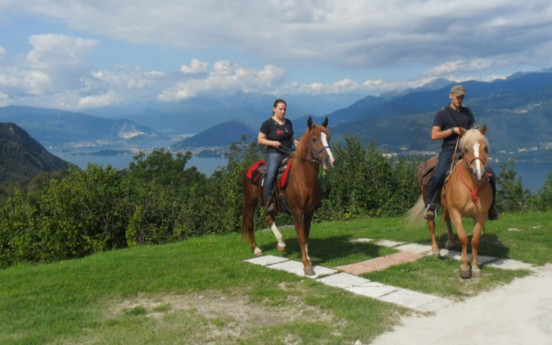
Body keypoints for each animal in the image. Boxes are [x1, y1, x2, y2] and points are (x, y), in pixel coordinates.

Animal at [240, 117, 334, 276]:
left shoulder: (309, 212)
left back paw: (281, 243)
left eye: (328, 138)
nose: (330, 161)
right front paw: (306, 265)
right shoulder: (296, 211)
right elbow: (300, 236)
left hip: (272, 205)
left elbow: (306, 235)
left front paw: (309, 259)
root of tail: (248, 168)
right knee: (250, 223)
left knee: (268, 218)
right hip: (250, 202)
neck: (302, 179)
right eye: (314, 139)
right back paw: (257, 249)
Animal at [410, 125, 492, 278]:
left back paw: (450, 241)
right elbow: (464, 238)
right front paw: (465, 267)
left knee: (446, 219)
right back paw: (435, 250)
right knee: (431, 224)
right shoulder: (456, 212)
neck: (472, 186)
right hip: (428, 201)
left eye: (485, 148)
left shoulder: (481, 215)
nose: (479, 173)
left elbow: (475, 240)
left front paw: (475, 267)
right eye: (466, 149)